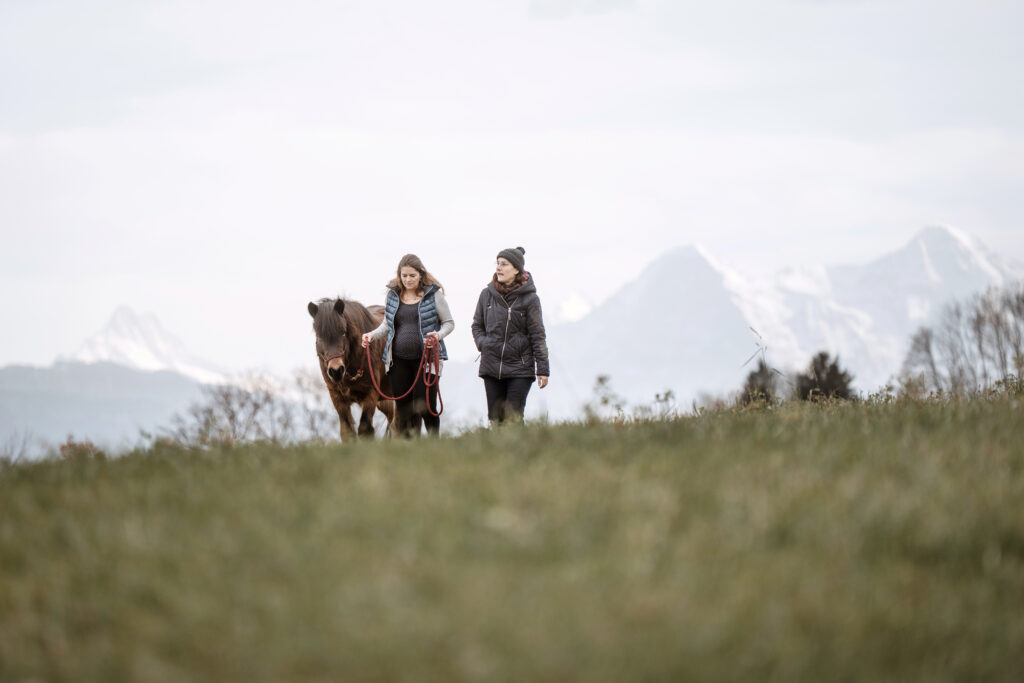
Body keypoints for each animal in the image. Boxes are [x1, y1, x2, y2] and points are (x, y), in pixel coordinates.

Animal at [307, 297, 396, 441]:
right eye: (319, 336)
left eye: (343, 332)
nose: (336, 371)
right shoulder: (337, 397)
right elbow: (347, 431)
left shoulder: (370, 393)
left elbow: (365, 429)